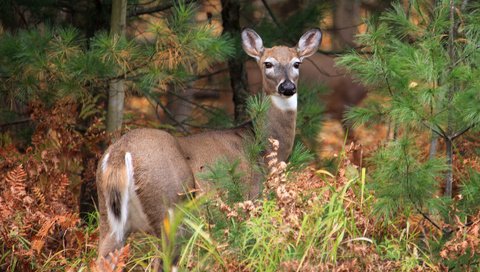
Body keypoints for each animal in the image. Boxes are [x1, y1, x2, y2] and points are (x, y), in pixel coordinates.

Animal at [96, 28, 322, 264]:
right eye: (268, 63)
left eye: (297, 63)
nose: (287, 87)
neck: (262, 145)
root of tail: (120, 153)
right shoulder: (249, 195)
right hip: (169, 205)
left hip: (108, 217)